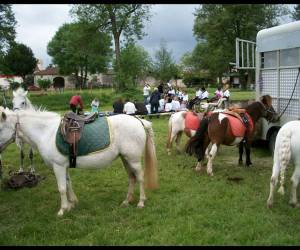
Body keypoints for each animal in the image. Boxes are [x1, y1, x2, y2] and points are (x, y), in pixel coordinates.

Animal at [0, 106, 159, 216]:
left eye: (0, 128)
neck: (46, 132)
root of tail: (139, 120)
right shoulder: (64, 166)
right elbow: (68, 184)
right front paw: (71, 204)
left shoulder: (58, 166)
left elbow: (62, 188)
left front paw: (62, 209)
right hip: (125, 159)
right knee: (131, 178)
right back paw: (126, 201)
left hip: (133, 160)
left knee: (140, 177)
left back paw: (141, 202)